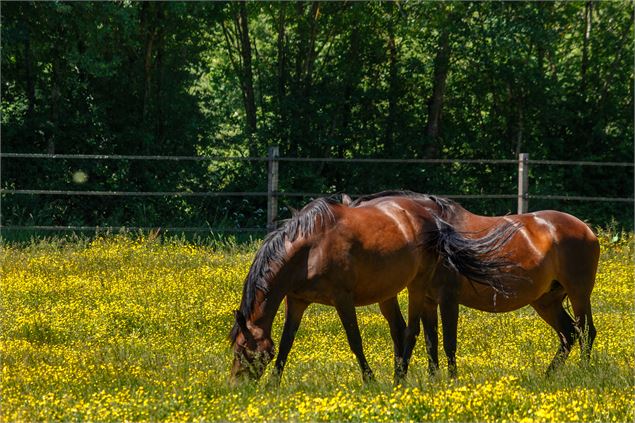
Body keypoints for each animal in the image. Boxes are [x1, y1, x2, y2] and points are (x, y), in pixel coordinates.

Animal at [231, 191, 520, 384]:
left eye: (245, 352)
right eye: (235, 349)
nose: (237, 387)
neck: (311, 248)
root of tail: (433, 218)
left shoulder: (342, 298)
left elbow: (354, 340)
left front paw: (369, 380)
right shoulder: (297, 301)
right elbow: (286, 343)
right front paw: (274, 384)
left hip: (417, 285)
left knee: (412, 330)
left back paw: (399, 380)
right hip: (388, 292)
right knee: (401, 330)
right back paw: (400, 375)